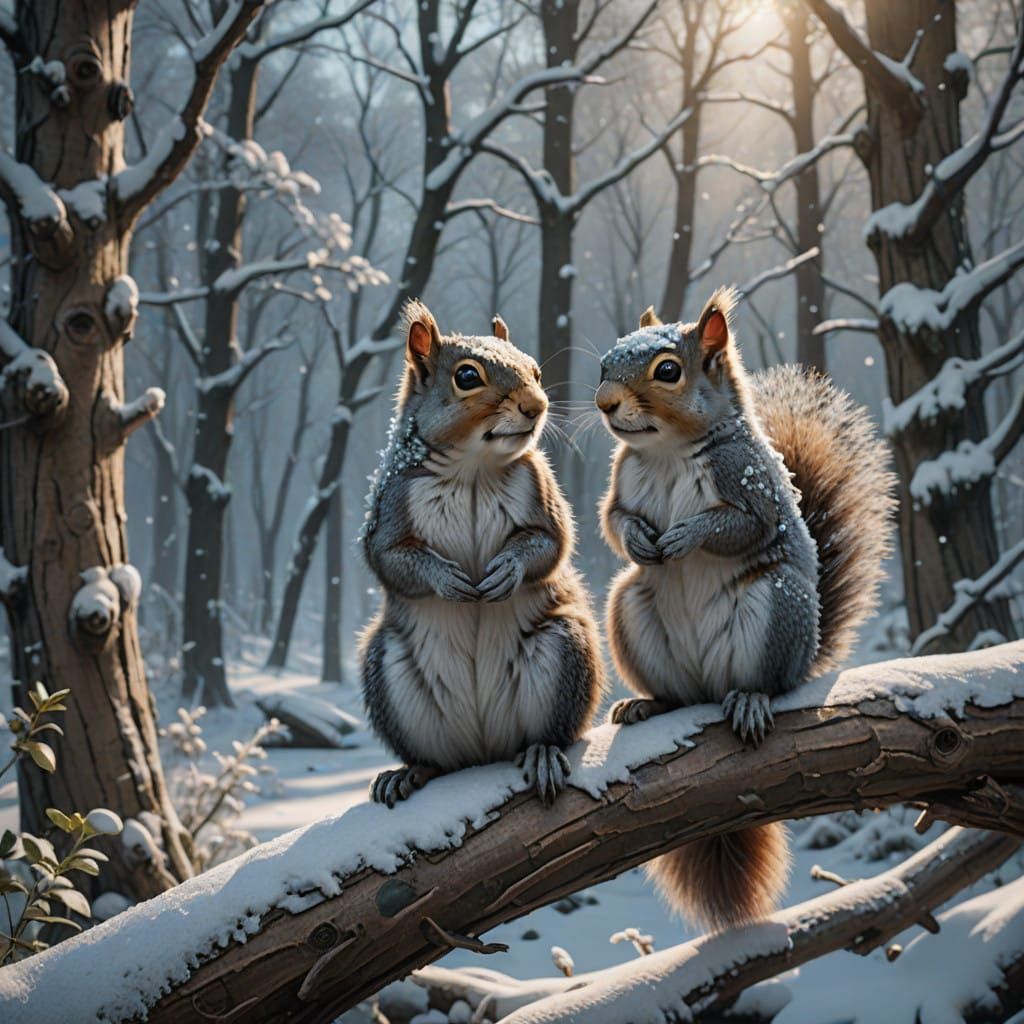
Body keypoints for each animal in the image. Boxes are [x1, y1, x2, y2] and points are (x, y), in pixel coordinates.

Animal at [359, 300, 605, 808]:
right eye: (467, 376)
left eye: (535, 369)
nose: (537, 406)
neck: (473, 467)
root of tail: (483, 750)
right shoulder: (391, 502)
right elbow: (390, 558)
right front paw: (445, 578)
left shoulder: (542, 491)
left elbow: (552, 543)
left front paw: (507, 570)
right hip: (388, 670)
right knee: (435, 758)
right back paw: (409, 772)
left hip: (564, 649)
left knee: (547, 732)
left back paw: (541, 753)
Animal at [596, 286, 896, 929]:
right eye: (606, 362)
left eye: (668, 371)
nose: (604, 403)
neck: (666, 451)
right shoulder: (621, 481)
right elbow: (613, 519)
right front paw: (639, 539)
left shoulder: (749, 489)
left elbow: (737, 527)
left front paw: (686, 536)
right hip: (632, 610)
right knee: (679, 694)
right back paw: (647, 705)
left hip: (778, 603)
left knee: (768, 682)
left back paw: (752, 700)